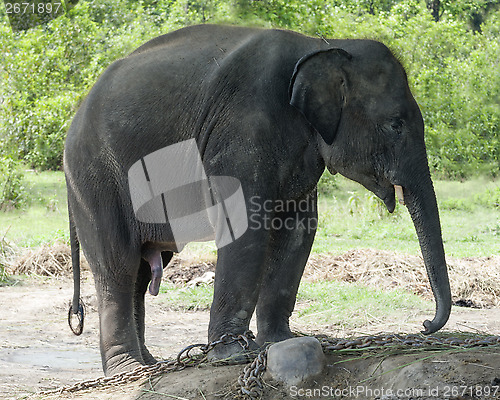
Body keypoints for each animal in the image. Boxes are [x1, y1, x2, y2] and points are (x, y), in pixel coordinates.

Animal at [64, 24, 452, 376]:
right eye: (396, 125)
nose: (424, 325)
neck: (323, 45)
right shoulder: (242, 128)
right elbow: (245, 225)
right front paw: (233, 354)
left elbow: (298, 231)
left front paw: (279, 343)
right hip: (98, 178)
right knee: (119, 265)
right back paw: (126, 369)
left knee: (142, 273)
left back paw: (150, 364)